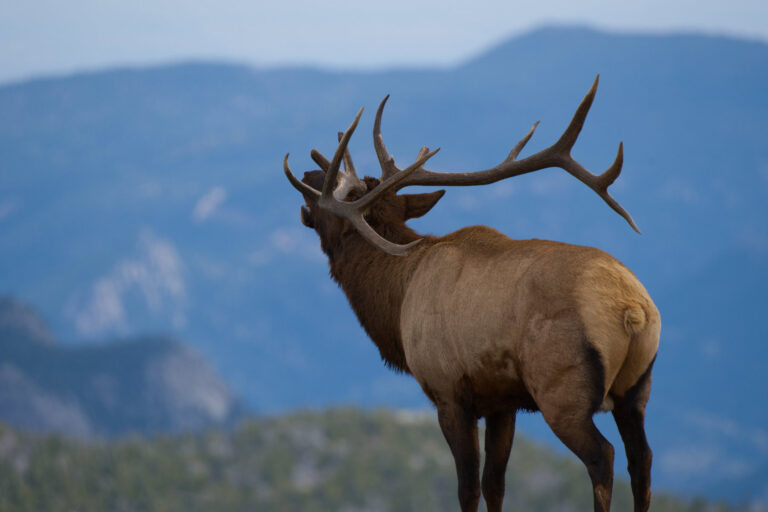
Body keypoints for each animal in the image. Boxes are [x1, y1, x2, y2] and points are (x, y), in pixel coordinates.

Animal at [282, 76, 660, 512]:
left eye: (330, 199)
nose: (308, 170)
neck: (396, 302)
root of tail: (633, 310)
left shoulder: (448, 391)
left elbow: (467, 488)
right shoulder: (503, 401)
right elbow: (495, 484)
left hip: (562, 390)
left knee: (603, 457)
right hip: (636, 392)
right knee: (642, 459)